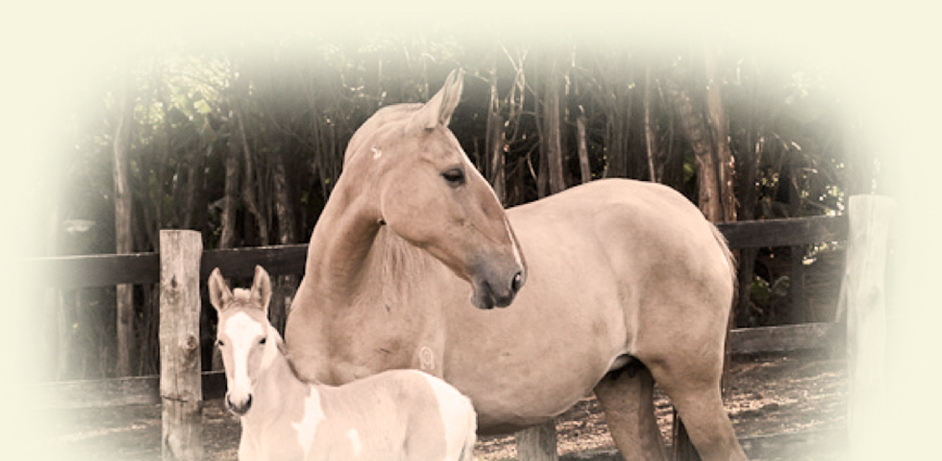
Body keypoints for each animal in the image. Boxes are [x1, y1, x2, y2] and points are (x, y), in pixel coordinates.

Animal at [284, 69, 748, 460]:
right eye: (454, 174)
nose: (513, 275)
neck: (345, 301)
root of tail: (693, 217)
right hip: (624, 384)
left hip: (692, 385)